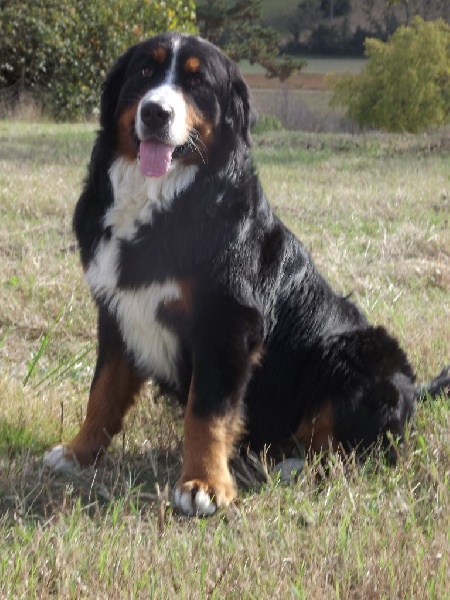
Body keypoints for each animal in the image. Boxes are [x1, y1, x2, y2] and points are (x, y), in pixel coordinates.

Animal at [44, 32, 449, 516]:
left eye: (198, 82)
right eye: (144, 71)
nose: (155, 112)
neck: (160, 199)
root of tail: (413, 385)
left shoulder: (228, 323)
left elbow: (208, 411)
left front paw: (203, 484)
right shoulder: (117, 311)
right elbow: (103, 392)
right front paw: (78, 452)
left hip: (361, 352)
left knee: (350, 449)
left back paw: (289, 467)